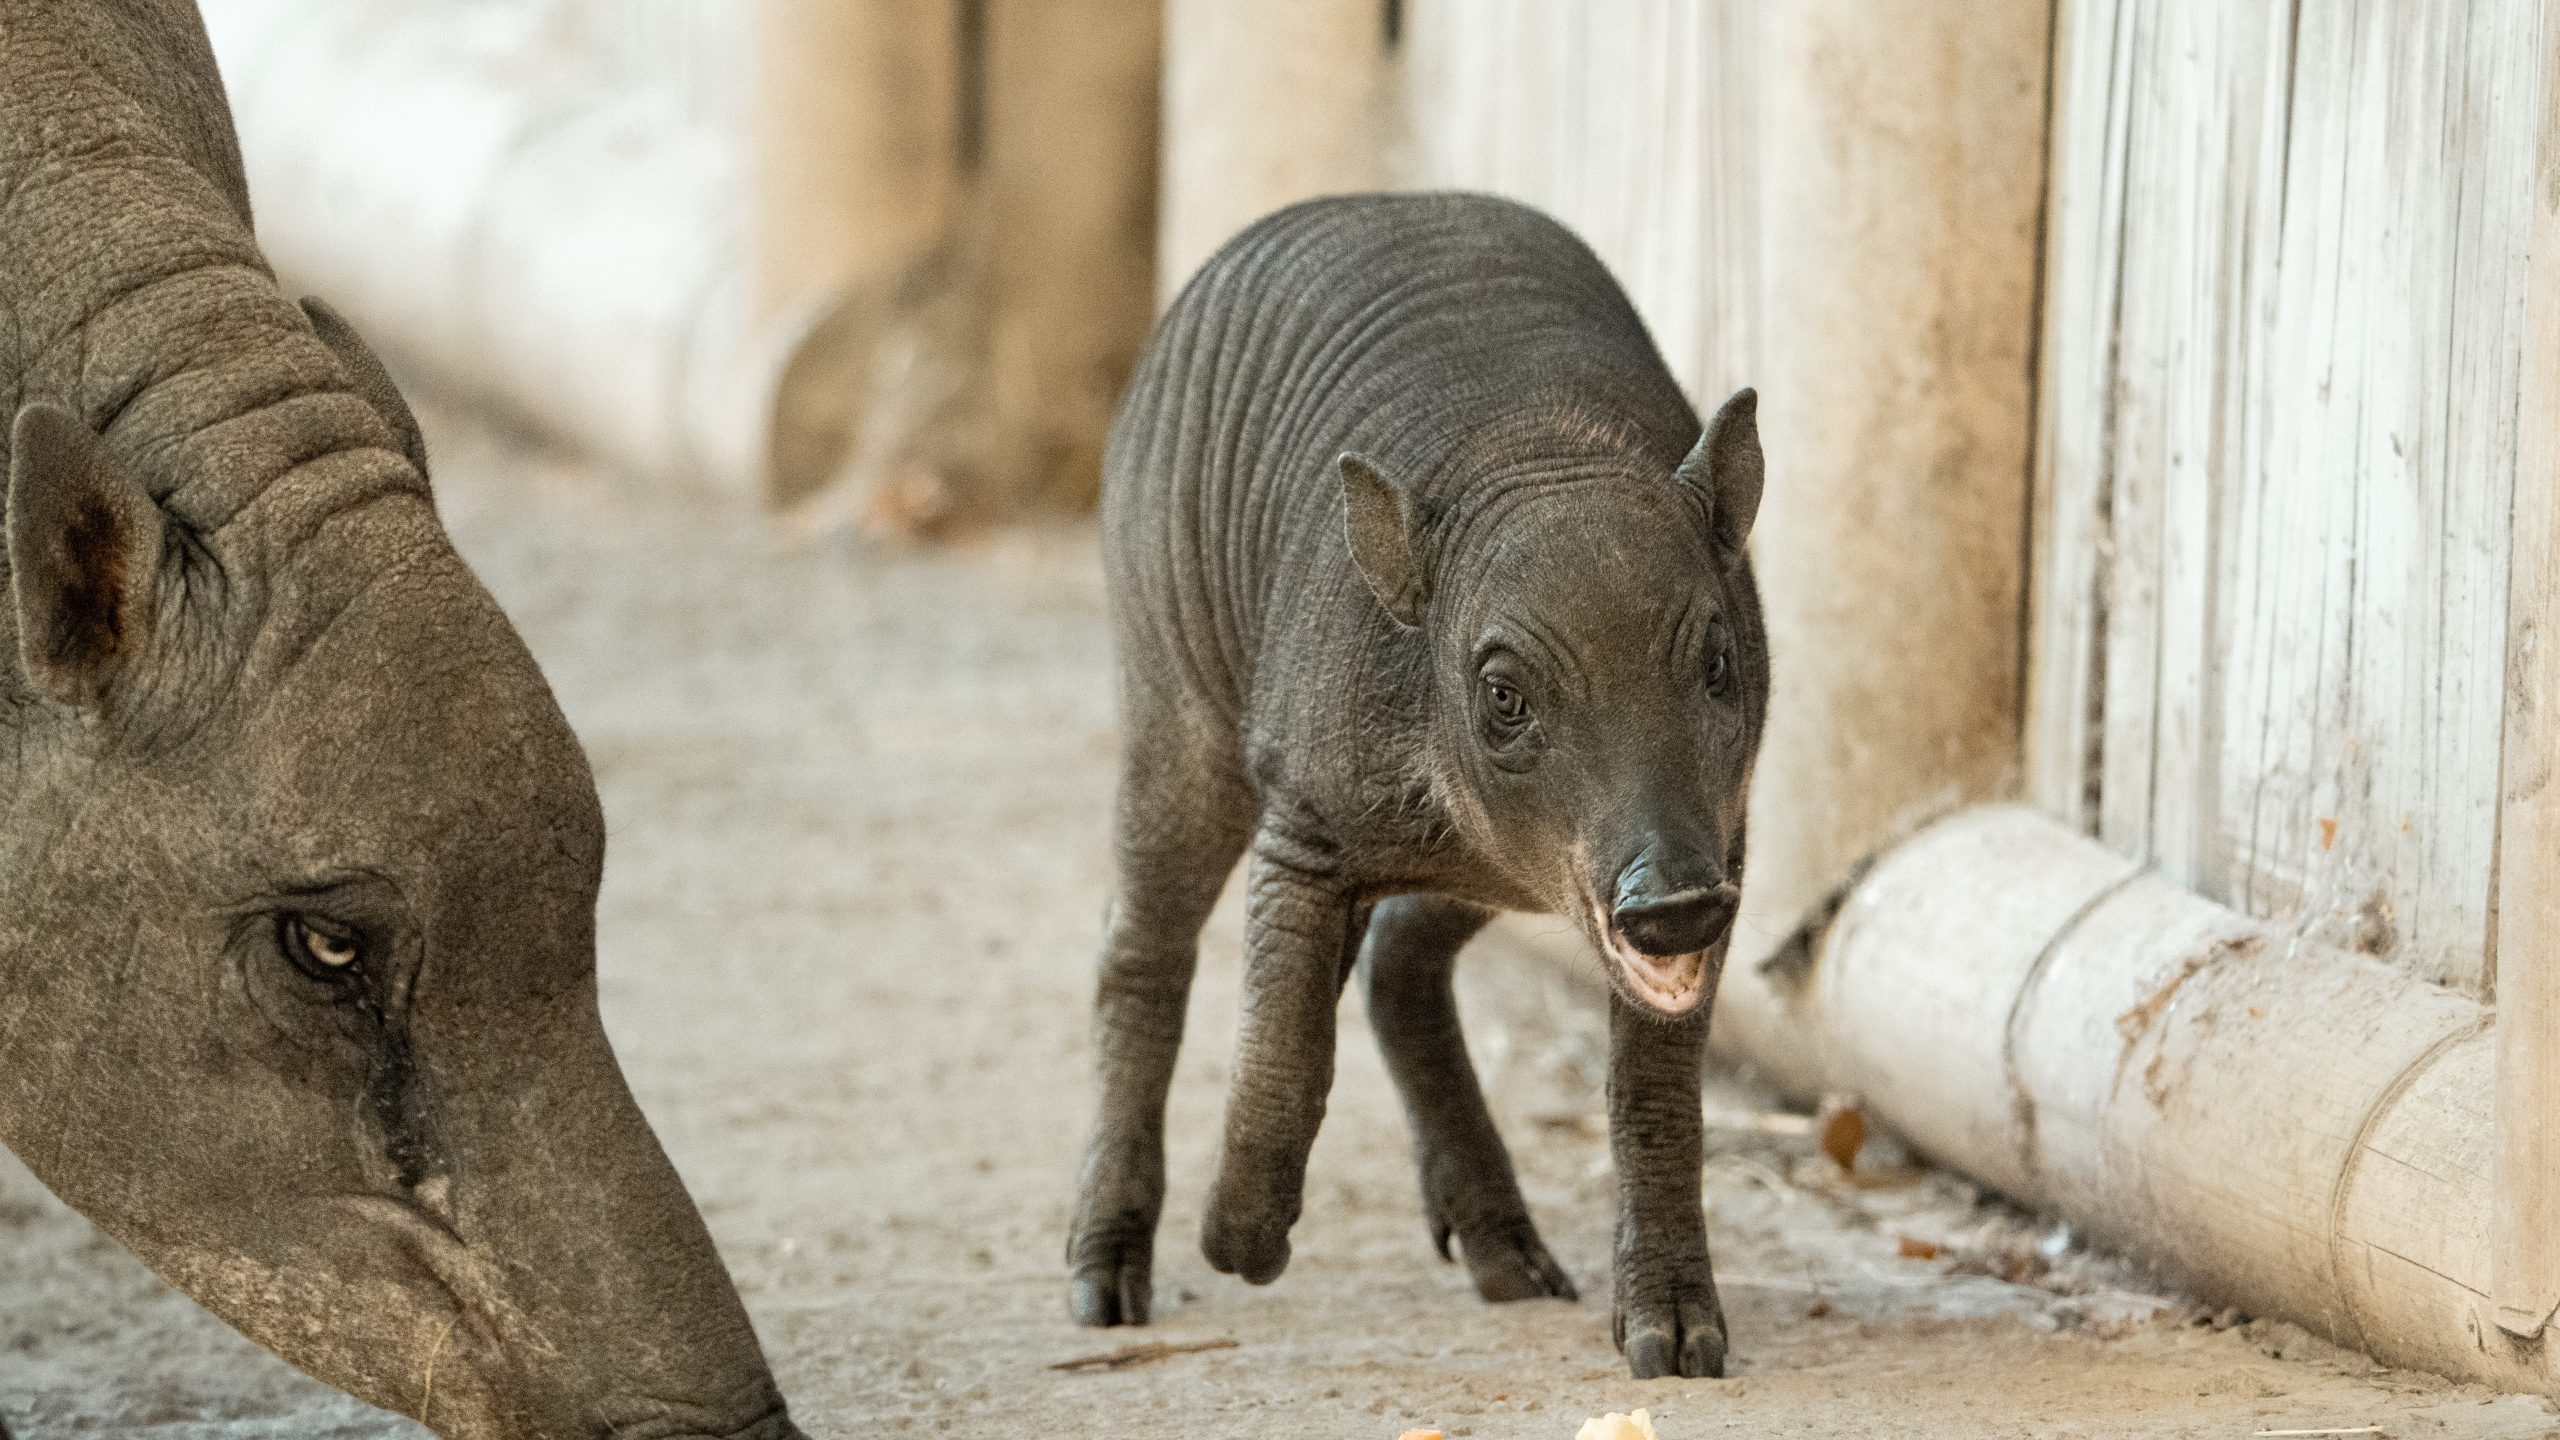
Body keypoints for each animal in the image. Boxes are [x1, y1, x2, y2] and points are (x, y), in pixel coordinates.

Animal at [1067, 193, 1768, 1380]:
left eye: (1719, 660)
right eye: (1504, 695)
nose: (1671, 904)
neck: (1536, 445)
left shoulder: (1724, 842)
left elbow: (1653, 1089)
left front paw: (1674, 1342)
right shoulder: (1305, 820)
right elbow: (1286, 1040)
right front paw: (1239, 1245)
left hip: (1502, 874)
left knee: (1396, 956)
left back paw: (1510, 1259)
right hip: (1172, 694)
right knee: (1140, 948)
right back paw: (1106, 1279)